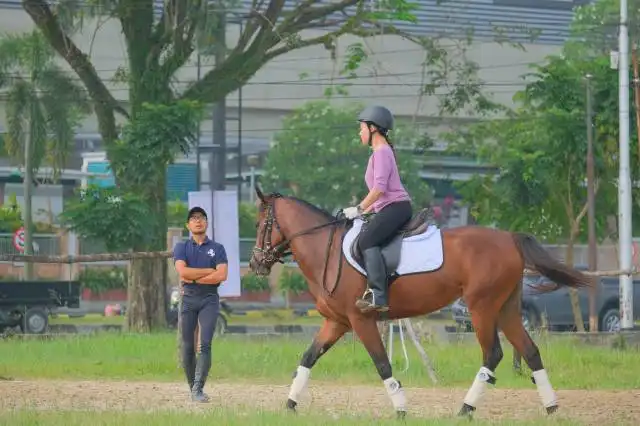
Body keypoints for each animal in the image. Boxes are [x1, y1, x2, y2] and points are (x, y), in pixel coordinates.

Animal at [248, 187, 592, 419]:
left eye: (260, 224)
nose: (255, 264)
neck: (327, 251)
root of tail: (509, 238)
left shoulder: (361, 320)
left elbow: (382, 364)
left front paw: (401, 410)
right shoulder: (337, 321)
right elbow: (307, 359)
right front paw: (289, 405)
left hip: (482, 307)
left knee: (492, 353)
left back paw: (465, 409)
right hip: (505, 308)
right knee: (531, 351)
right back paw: (551, 407)